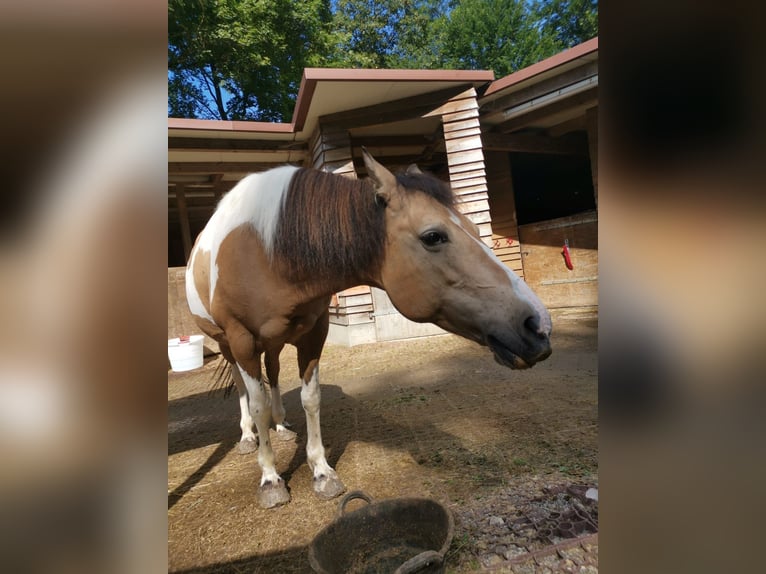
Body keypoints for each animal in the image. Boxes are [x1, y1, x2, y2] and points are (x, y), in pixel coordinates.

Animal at [184, 151, 552, 510]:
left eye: (476, 228)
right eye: (433, 236)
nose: (538, 325)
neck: (266, 252)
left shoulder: (313, 334)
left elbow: (310, 399)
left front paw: (321, 472)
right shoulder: (242, 340)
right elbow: (257, 402)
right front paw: (271, 479)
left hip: (274, 342)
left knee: (272, 374)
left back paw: (280, 425)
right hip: (228, 344)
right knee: (242, 386)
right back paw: (248, 435)